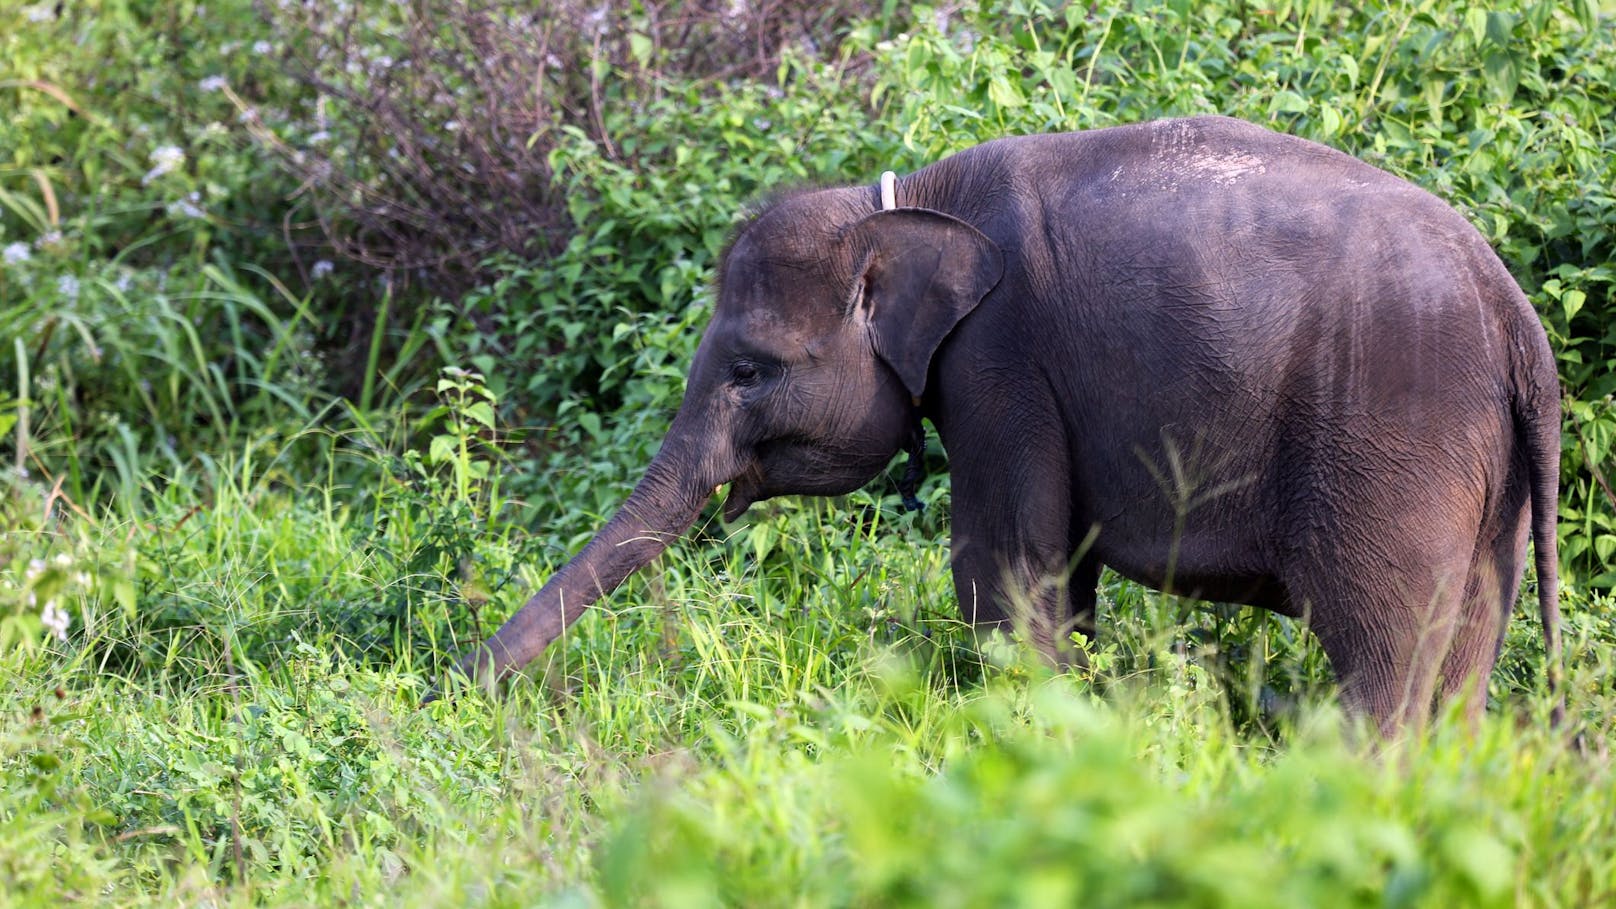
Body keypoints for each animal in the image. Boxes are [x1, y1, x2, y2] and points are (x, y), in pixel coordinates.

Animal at [449, 113, 1557, 731]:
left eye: (748, 370)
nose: (454, 686)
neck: (901, 200)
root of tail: (1517, 321)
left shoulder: (1000, 360)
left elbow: (1005, 569)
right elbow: (1056, 574)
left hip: (1392, 434)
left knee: (1382, 644)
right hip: (1486, 466)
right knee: (1468, 645)